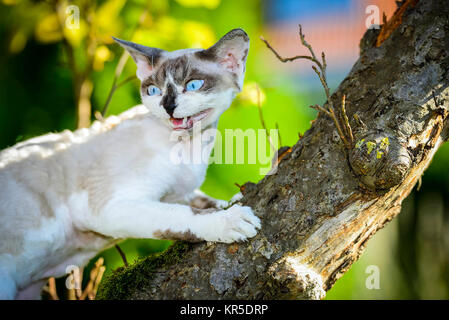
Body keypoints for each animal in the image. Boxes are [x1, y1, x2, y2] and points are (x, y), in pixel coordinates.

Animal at [0, 28, 260, 300]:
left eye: (193, 85)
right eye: (154, 90)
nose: (168, 106)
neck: (191, 149)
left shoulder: (179, 191)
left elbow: (200, 200)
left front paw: (231, 200)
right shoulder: (108, 207)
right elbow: (181, 214)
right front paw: (229, 219)